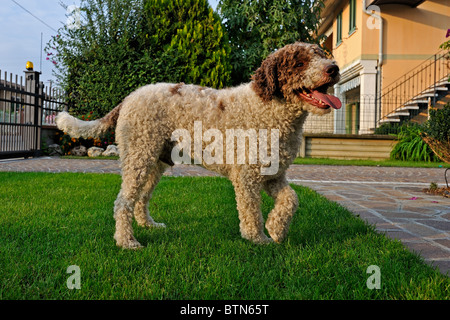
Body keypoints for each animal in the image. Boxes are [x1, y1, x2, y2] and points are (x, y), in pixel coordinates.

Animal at [58, 42, 342, 248]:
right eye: (300, 62)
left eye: (322, 54)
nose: (334, 68)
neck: (269, 109)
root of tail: (129, 98)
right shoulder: (248, 176)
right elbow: (251, 210)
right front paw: (258, 239)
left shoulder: (274, 174)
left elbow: (291, 199)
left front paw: (276, 229)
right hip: (139, 157)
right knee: (123, 202)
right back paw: (127, 241)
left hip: (154, 162)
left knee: (141, 198)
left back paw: (149, 225)